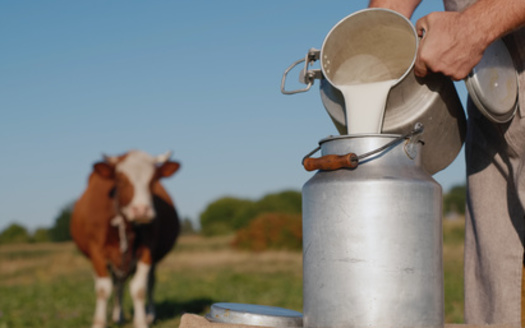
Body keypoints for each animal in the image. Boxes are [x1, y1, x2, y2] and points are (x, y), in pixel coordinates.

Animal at [70, 150, 180, 326]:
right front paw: (99, 323)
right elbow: (103, 289)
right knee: (116, 285)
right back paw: (118, 316)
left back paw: (149, 315)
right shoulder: (96, 251)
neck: (126, 224)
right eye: (120, 180)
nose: (141, 210)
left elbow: (139, 289)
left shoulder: (148, 251)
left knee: (149, 283)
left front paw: (141, 322)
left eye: (154, 180)